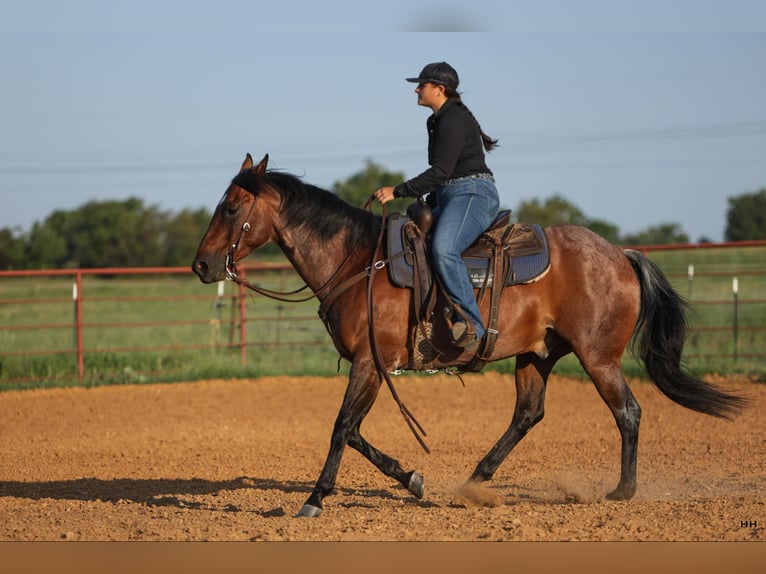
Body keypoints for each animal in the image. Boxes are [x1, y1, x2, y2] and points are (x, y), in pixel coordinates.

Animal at [192, 153, 747, 518]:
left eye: (230, 208)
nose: (201, 265)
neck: (357, 261)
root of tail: (621, 255)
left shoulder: (370, 363)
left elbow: (342, 427)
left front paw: (315, 499)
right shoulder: (375, 366)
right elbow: (354, 431)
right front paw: (413, 480)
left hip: (598, 357)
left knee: (627, 411)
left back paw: (622, 492)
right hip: (537, 354)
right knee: (528, 414)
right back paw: (475, 480)